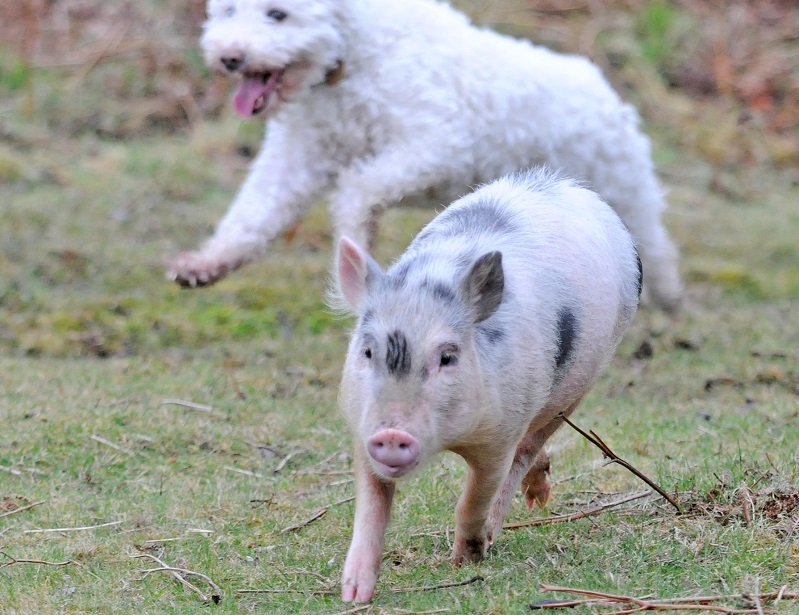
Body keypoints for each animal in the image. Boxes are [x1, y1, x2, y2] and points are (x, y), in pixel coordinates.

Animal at [332, 169, 641, 602]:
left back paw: (511, 520)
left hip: (580, 380)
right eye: (367, 351)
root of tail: (569, 186)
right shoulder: (361, 426)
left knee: (528, 449)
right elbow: (370, 508)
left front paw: (465, 560)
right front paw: (354, 594)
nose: (392, 433)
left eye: (448, 357)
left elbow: (475, 496)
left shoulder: (500, 433)